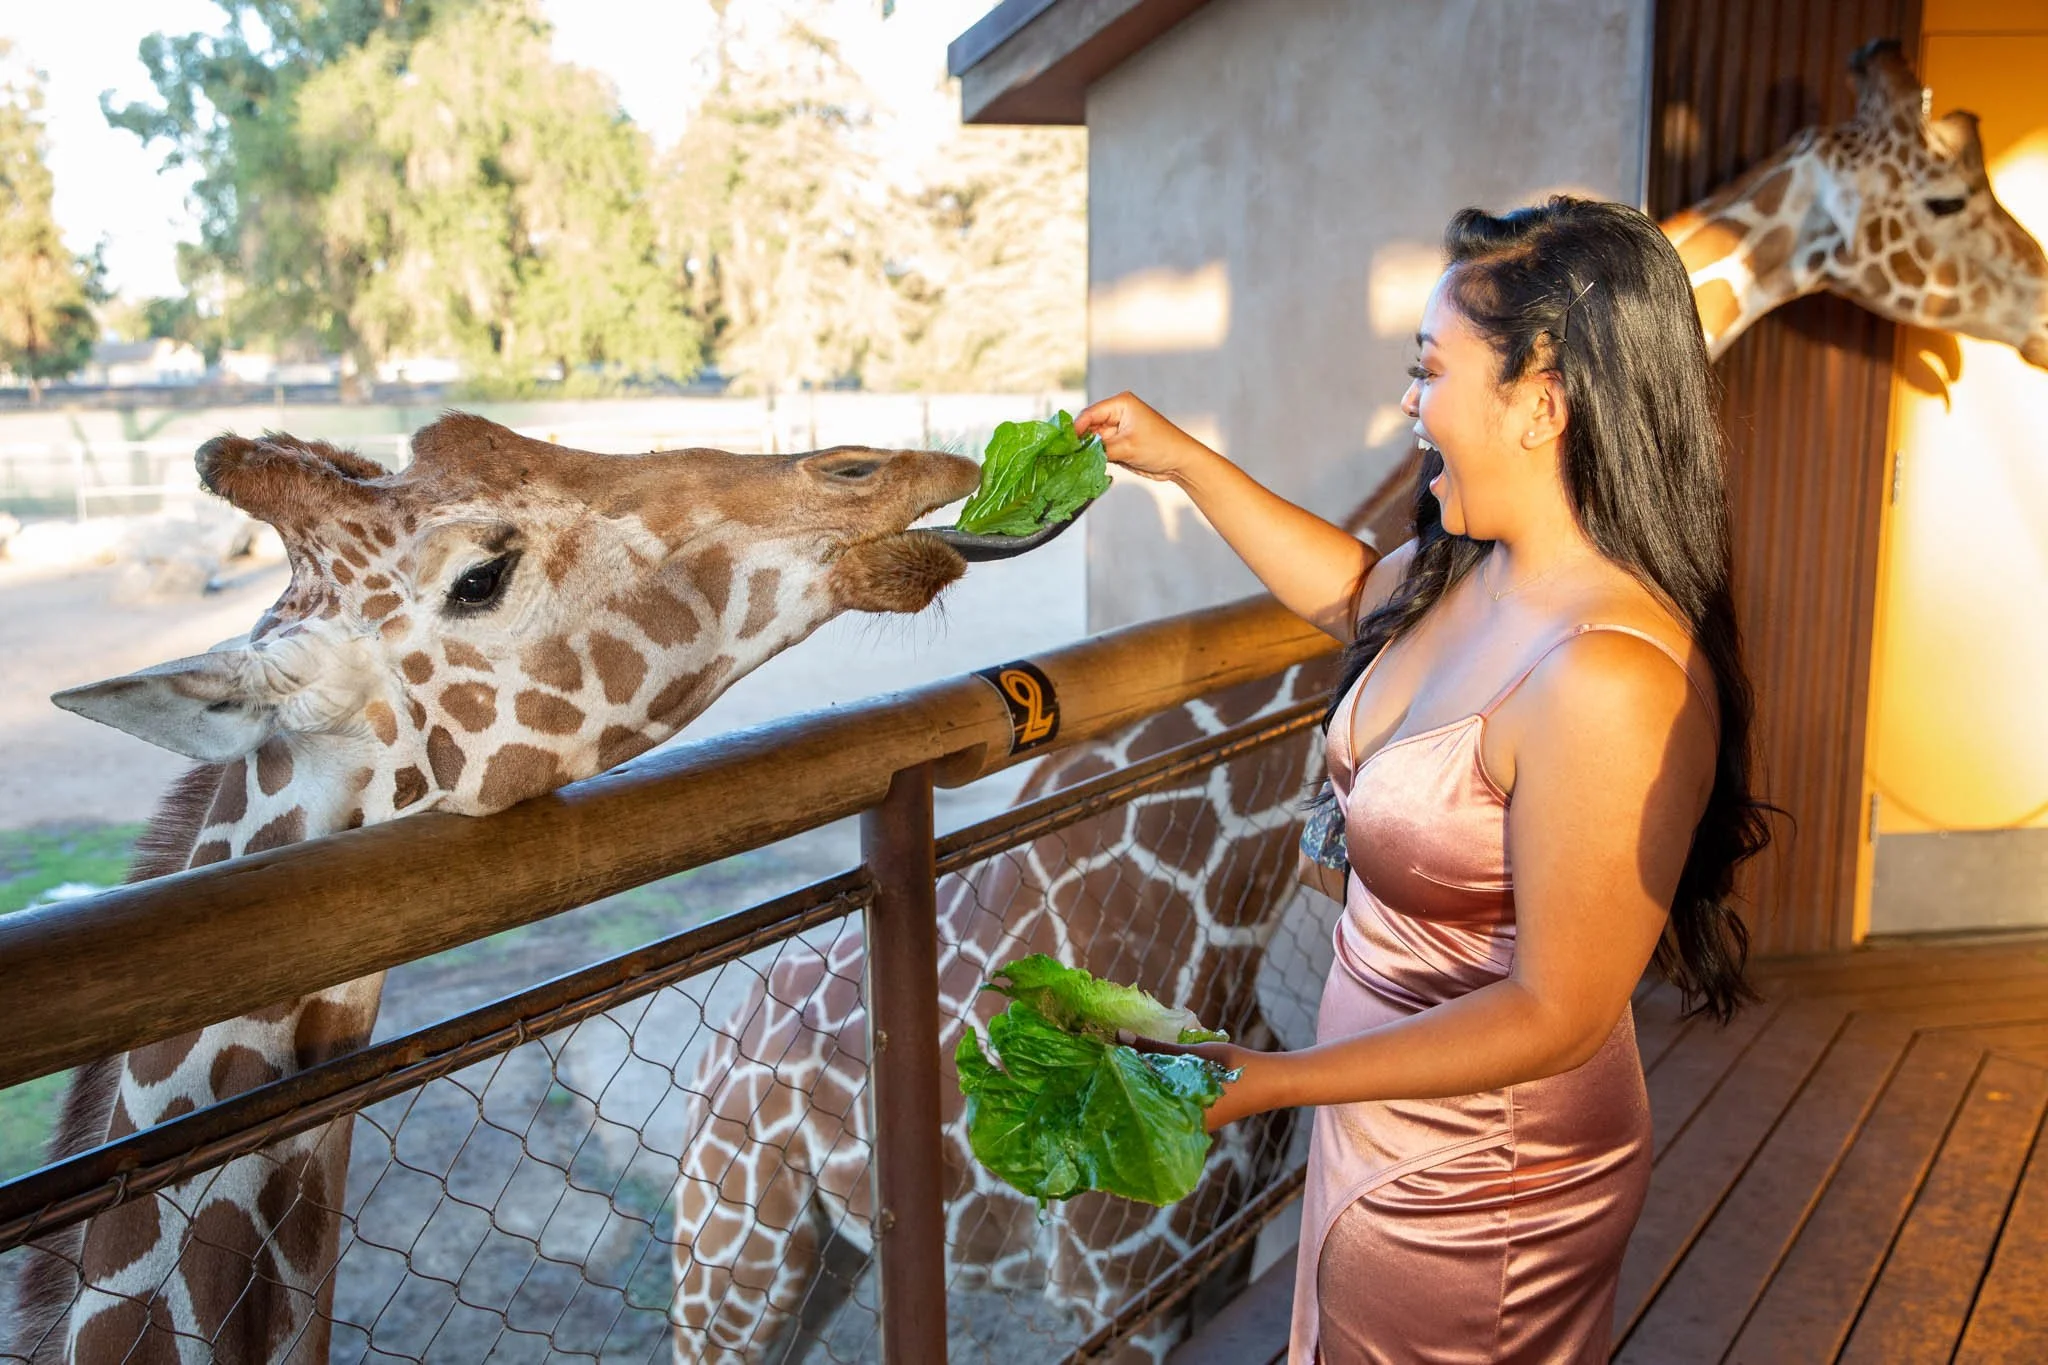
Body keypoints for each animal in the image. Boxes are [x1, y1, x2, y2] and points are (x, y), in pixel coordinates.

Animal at [662, 36, 2048, 1365]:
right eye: (1941, 197)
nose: (2037, 307)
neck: (1195, 915)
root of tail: (725, 1039)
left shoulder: (1200, 1257)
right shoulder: (1115, 1279)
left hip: (827, 1262)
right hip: (734, 1261)